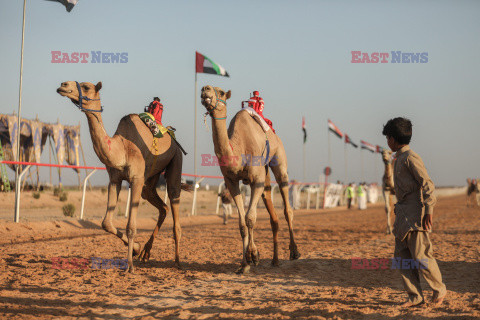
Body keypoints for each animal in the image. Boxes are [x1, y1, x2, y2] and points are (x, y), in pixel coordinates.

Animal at [57, 80, 188, 272]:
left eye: (86, 86)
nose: (63, 85)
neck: (122, 149)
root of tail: (172, 138)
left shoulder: (136, 179)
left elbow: (131, 226)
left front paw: (129, 266)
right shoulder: (115, 180)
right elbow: (106, 223)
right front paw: (136, 249)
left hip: (175, 159)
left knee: (173, 197)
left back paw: (178, 261)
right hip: (150, 180)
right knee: (163, 207)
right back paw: (146, 252)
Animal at [200, 85, 300, 276]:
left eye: (221, 92)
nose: (205, 89)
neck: (239, 148)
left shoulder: (256, 179)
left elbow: (250, 218)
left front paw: (253, 255)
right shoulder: (231, 181)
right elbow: (241, 223)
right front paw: (244, 263)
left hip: (279, 159)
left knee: (287, 206)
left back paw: (294, 252)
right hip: (265, 176)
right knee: (273, 215)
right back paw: (275, 260)